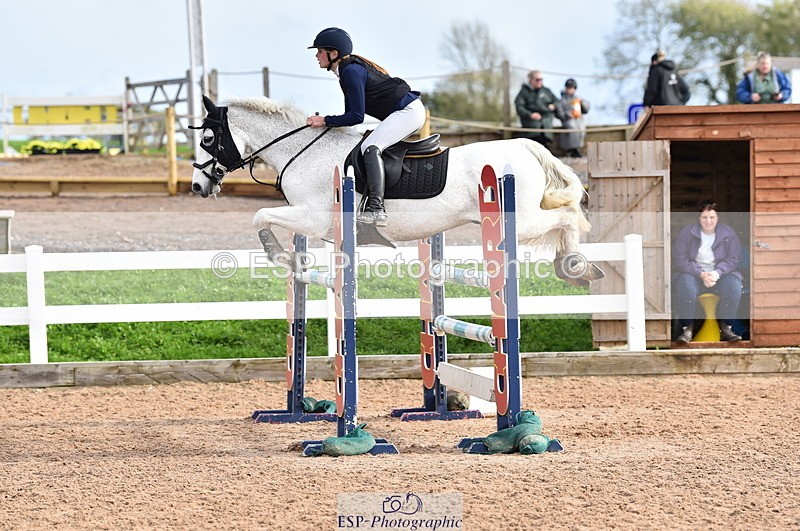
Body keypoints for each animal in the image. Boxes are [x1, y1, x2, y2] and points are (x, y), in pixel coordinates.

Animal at [190, 96, 603, 286]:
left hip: (522, 217)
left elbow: (260, 215)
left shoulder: (313, 218)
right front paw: (291, 260)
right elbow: (264, 217)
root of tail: (525, 146)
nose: (197, 185)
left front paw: (281, 257)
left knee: (566, 217)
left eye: (208, 138)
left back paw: (574, 265)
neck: (303, 151)